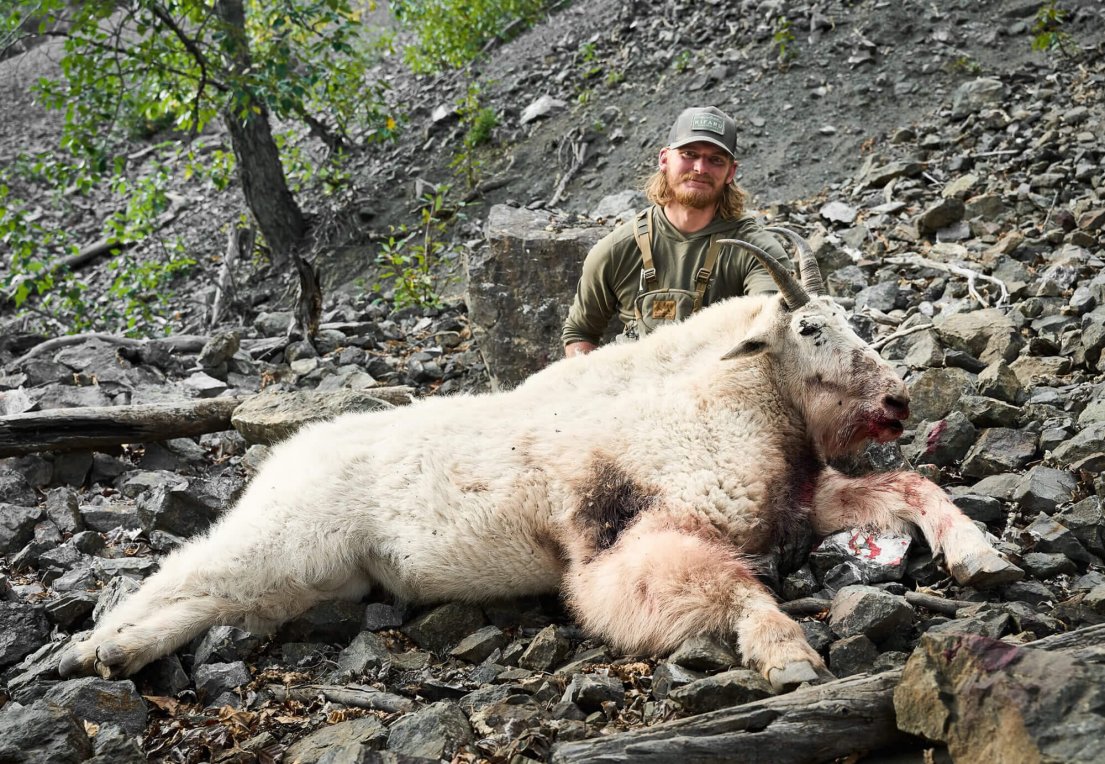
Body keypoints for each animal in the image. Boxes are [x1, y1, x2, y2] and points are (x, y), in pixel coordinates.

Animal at [59, 230, 1022, 690]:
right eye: (812, 327)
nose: (895, 401)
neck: (722, 398)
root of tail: (290, 453)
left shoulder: (791, 503)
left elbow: (910, 484)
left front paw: (981, 556)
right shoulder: (618, 544)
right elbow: (729, 584)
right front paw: (786, 655)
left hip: (322, 576)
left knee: (226, 601)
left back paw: (110, 659)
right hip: (288, 535)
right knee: (187, 569)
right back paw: (90, 652)